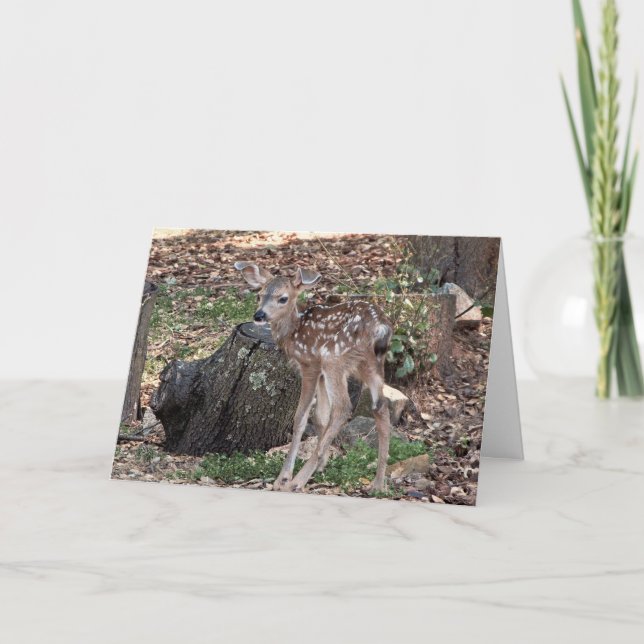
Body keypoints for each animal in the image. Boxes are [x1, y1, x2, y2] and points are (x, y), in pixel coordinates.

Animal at [234, 261, 394, 493]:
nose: (259, 315)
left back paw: (298, 481)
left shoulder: (310, 364)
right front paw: (322, 463)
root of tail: (380, 326)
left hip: (334, 358)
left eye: (283, 298)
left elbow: (301, 417)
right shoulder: (319, 372)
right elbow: (320, 416)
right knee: (380, 406)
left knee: (343, 407)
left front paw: (283, 478)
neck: (293, 331)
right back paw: (378, 484)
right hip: (372, 364)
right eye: (259, 295)